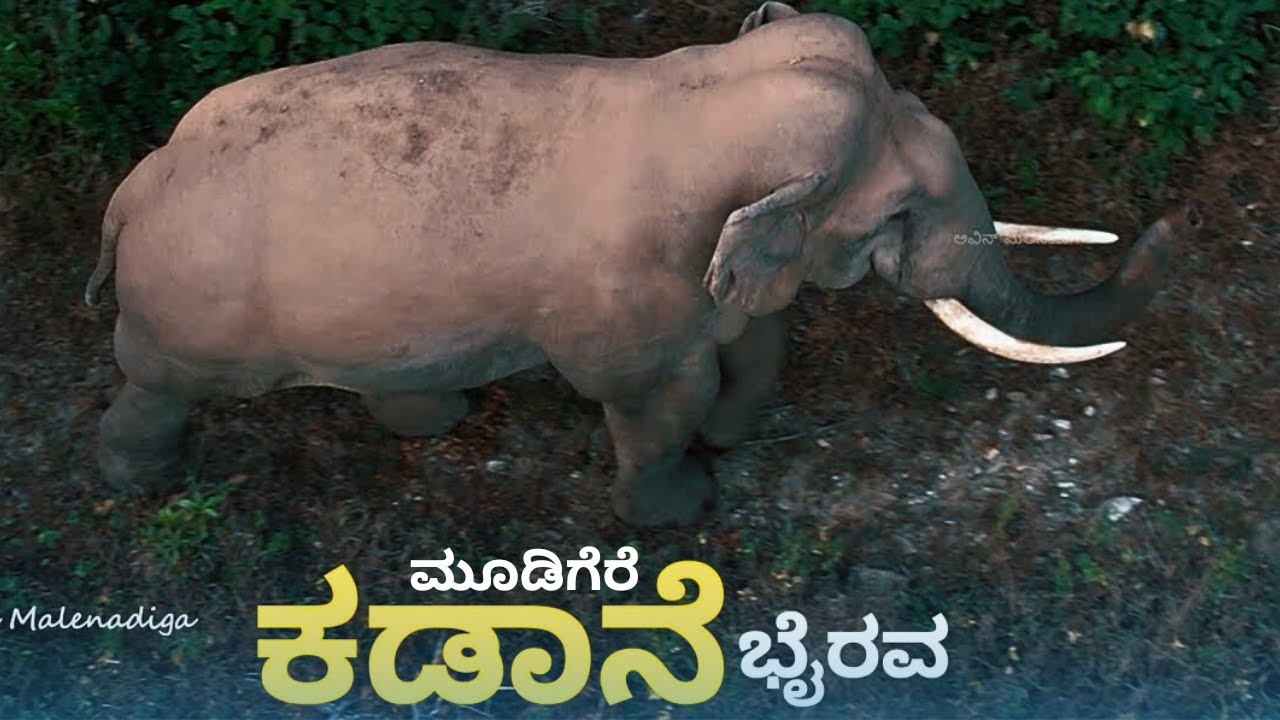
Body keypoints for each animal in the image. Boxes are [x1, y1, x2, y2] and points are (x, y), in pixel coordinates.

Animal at [84, 3, 1197, 526]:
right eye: (901, 212)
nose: (1172, 220)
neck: (697, 94)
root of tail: (136, 185)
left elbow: (754, 343)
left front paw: (734, 439)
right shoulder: (624, 308)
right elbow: (657, 394)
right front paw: (685, 506)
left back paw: (436, 421)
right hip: (186, 324)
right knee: (153, 389)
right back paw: (139, 485)